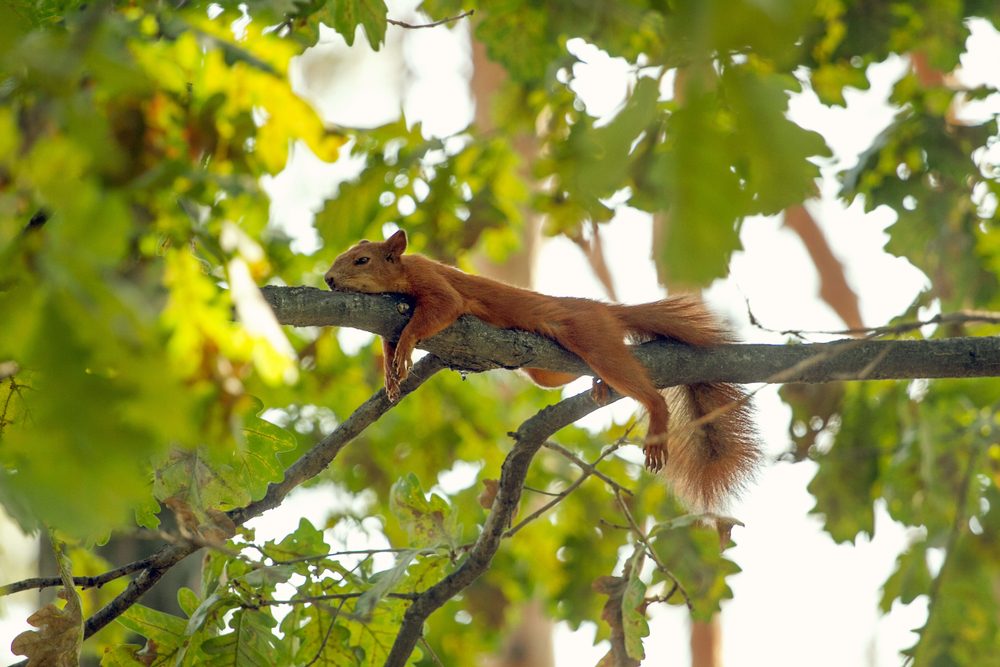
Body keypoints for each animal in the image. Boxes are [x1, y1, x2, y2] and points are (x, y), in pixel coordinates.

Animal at [326, 231, 756, 512]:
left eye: (362, 260)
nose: (329, 279)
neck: (401, 277)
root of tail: (602, 308)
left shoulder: (436, 285)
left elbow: (438, 310)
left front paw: (409, 347)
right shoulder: (389, 318)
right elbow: (389, 345)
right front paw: (391, 375)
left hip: (593, 337)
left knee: (642, 388)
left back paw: (652, 414)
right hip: (547, 370)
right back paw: (598, 385)